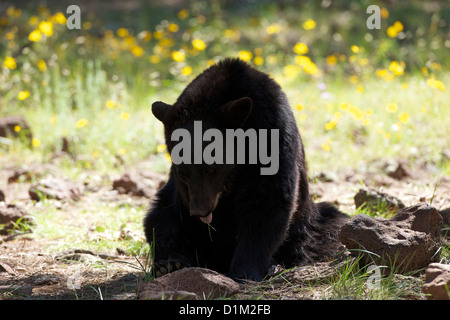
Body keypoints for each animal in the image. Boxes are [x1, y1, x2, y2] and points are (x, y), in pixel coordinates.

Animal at [143, 58, 348, 282]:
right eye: (182, 173)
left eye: (211, 168)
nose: (199, 211)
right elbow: (167, 217)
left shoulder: (273, 136)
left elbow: (268, 201)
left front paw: (244, 271)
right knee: (159, 219)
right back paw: (170, 264)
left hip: (310, 222)